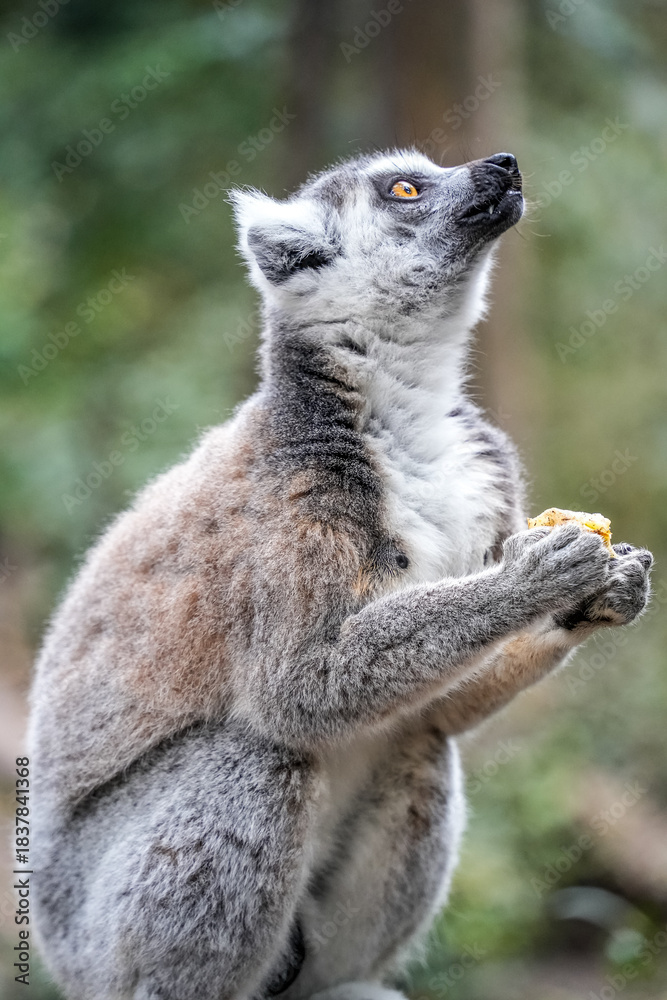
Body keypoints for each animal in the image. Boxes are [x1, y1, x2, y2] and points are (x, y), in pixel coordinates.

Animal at [28, 149, 652, 1000]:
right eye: (405, 189)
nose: (502, 164)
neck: (405, 405)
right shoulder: (292, 500)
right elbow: (297, 688)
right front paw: (530, 582)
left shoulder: (486, 474)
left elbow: (438, 707)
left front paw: (599, 597)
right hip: (92, 926)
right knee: (255, 758)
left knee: (419, 741)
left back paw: (345, 982)